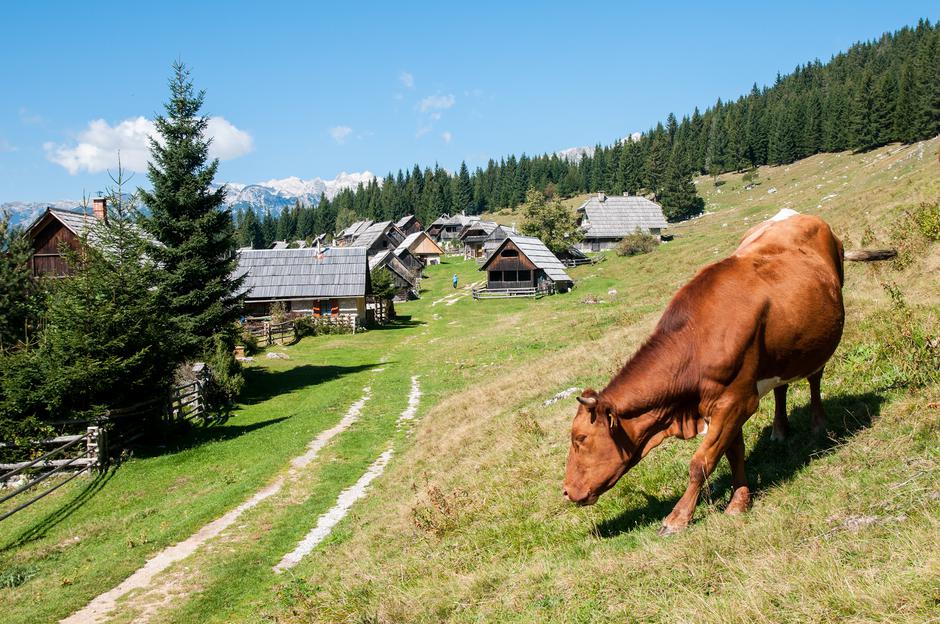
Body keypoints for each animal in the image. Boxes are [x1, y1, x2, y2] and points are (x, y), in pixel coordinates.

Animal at [560, 210, 876, 536]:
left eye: (580, 438)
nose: (566, 491)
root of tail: (800, 215)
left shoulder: (736, 402)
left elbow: (700, 463)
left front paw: (678, 518)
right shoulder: (725, 405)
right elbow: (734, 452)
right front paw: (740, 500)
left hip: (818, 340)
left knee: (814, 377)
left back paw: (818, 424)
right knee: (781, 386)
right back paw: (779, 431)